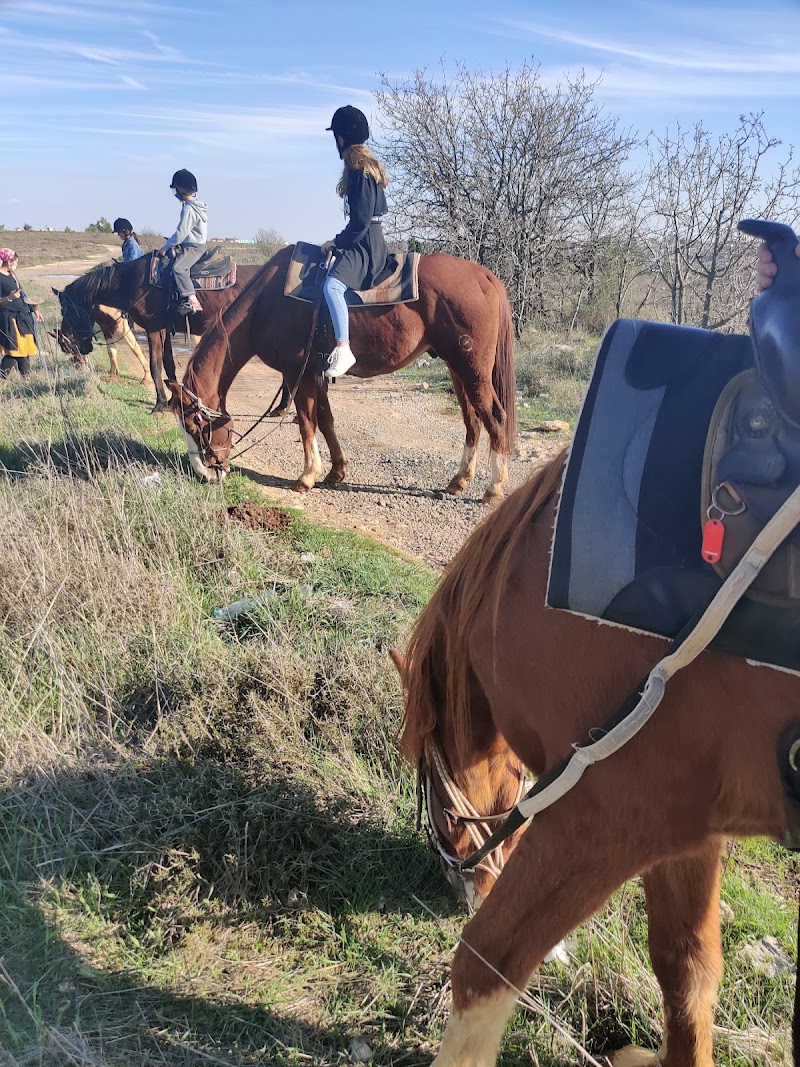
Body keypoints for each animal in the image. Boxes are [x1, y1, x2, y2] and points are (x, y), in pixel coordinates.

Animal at [54, 254, 265, 412]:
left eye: (67, 312)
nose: (79, 348)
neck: (133, 282)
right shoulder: (165, 329)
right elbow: (168, 364)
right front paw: (173, 401)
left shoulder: (153, 328)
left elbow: (155, 365)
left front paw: (159, 404)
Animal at [167, 245, 517, 503]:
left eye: (194, 424)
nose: (205, 474)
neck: (265, 306)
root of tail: (484, 276)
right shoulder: (316, 375)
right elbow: (326, 420)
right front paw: (336, 471)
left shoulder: (297, 375)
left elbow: (307, 424)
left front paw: (307, 476)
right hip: (458, 370)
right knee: (473, 422)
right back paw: (458, 481)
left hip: (472, 370)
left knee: (494, 417)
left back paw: (494, 488)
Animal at [394, 446, 800, 1066]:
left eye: (437, 805)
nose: (457, 884)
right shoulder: (688, 831)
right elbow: (687, 969)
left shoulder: (598, 818)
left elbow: (486, 964)